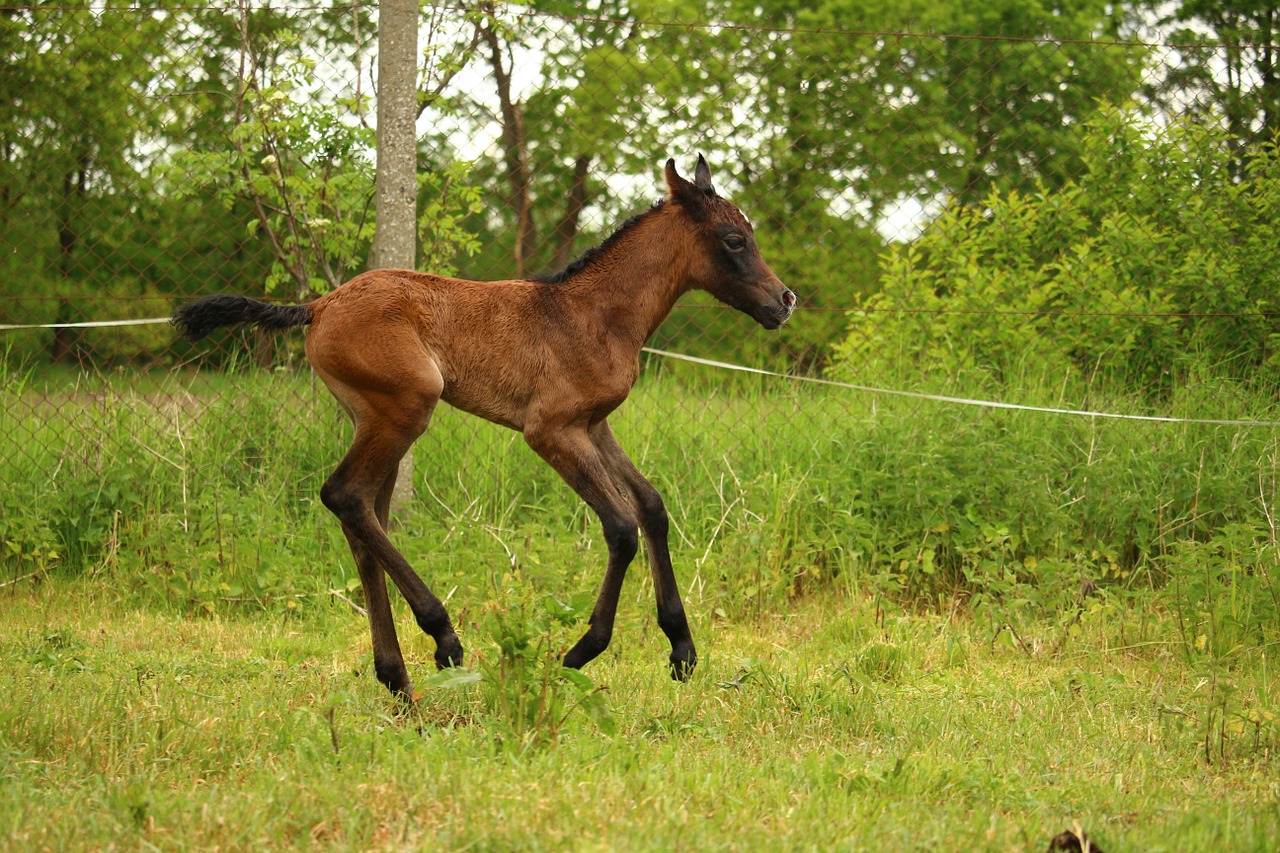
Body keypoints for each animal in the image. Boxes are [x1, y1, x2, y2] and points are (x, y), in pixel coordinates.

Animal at [170, 154, 788, 696]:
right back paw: (443, 637)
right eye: (734, 240)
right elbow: (619, 526)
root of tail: (318, 306)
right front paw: (580, 652)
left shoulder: (594, 426)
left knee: (364, 518)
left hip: (376, 419)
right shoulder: (551, 430)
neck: (592, 315)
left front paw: (682, 649)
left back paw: (397, 678)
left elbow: (652, 507)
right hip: (407, 408)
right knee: (345, 495)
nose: (785, 301)